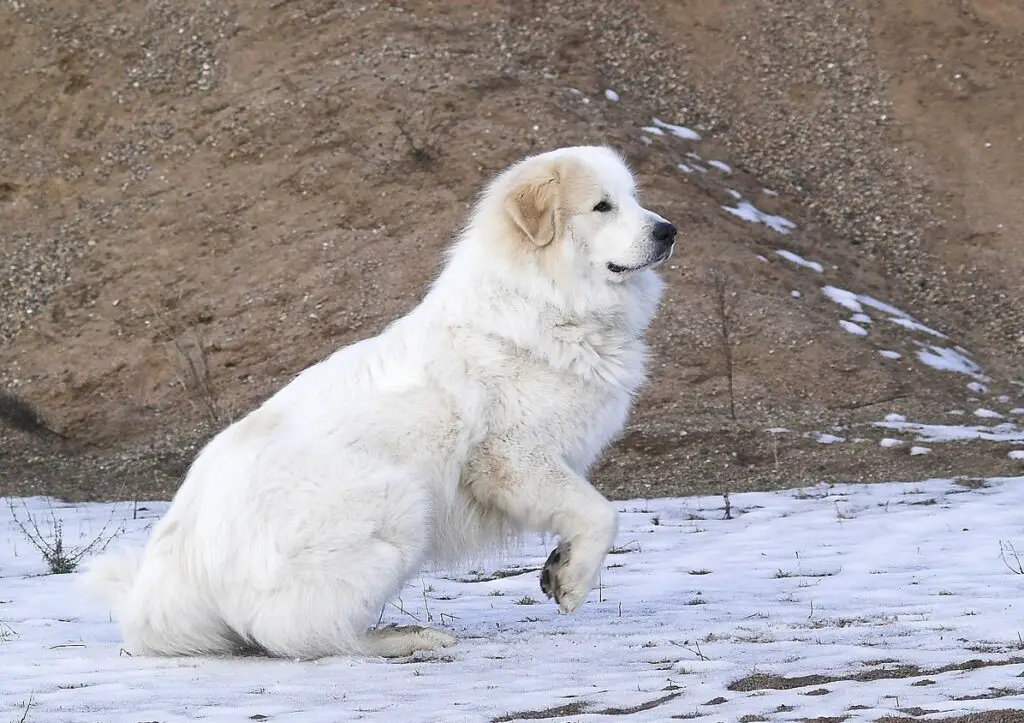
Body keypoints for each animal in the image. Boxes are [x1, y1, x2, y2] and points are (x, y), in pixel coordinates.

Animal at [86, 145, 671, 659]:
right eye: (602, 206)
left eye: (635, 197)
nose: (669, 230)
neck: (544, 301)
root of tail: (176, 574)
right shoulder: (513, 458)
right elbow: (601, 513)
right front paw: (573, 581)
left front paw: (559, 565)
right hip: (400, 502)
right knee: (299, 634)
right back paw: (404, 638)